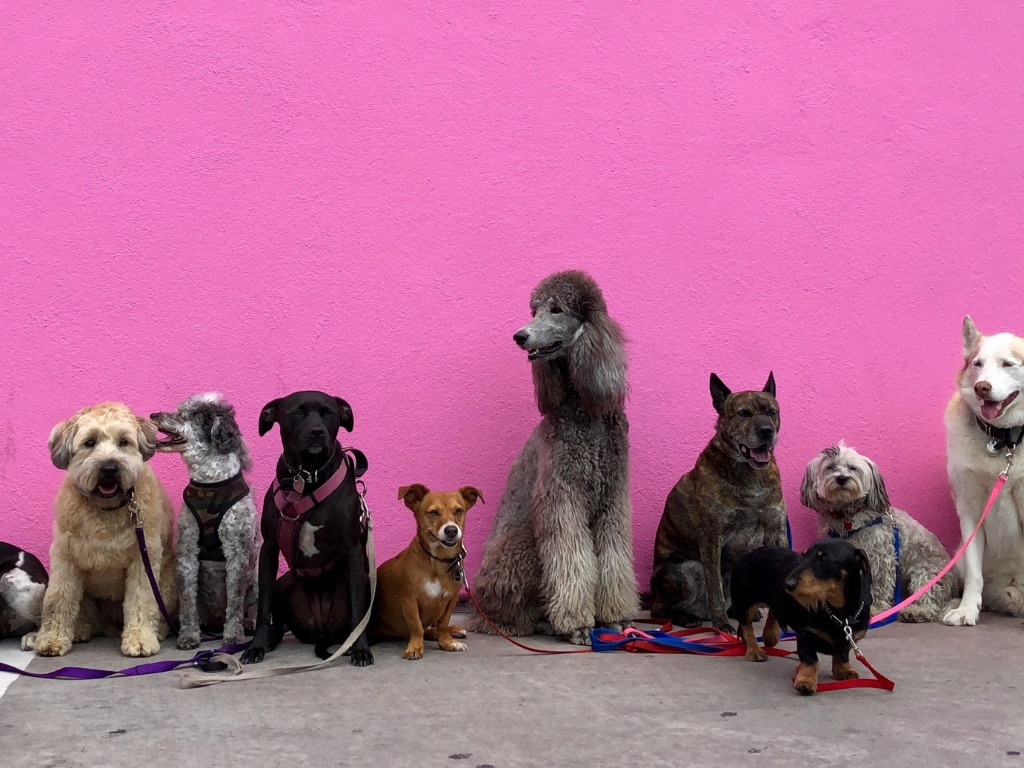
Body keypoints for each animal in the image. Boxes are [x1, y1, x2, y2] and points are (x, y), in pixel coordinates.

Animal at [241, 391, 374, 667]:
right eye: (298, 413)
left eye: (329, 413)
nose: (317, 432)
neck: (307, 478)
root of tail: (322, 630)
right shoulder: (269, 549)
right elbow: (262, 610)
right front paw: (256, 646)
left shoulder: (353, 550)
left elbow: (359, 611)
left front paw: (360, 650)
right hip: (283, 582)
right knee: (277, 621)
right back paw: (270, 640)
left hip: (365, 580)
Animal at [370, 483, 481, 659]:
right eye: (433, 512)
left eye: (459, 510)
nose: (451, 530)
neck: (439, 560)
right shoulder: (409, 601)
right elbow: (416, 627)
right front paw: (415, 647)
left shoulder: (452, 599)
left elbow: (443, 623)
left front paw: (447, 642)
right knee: (425, 630)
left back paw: (453, 630)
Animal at [651, 372, 786, 630]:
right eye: (744, 413)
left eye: (771, 411)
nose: (766, 431)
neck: (749, 473)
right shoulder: (712, 536)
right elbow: (715, 588)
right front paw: (722, 625)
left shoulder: (776, 530)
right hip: (683, 570)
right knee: (660, 609)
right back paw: (686, 617)